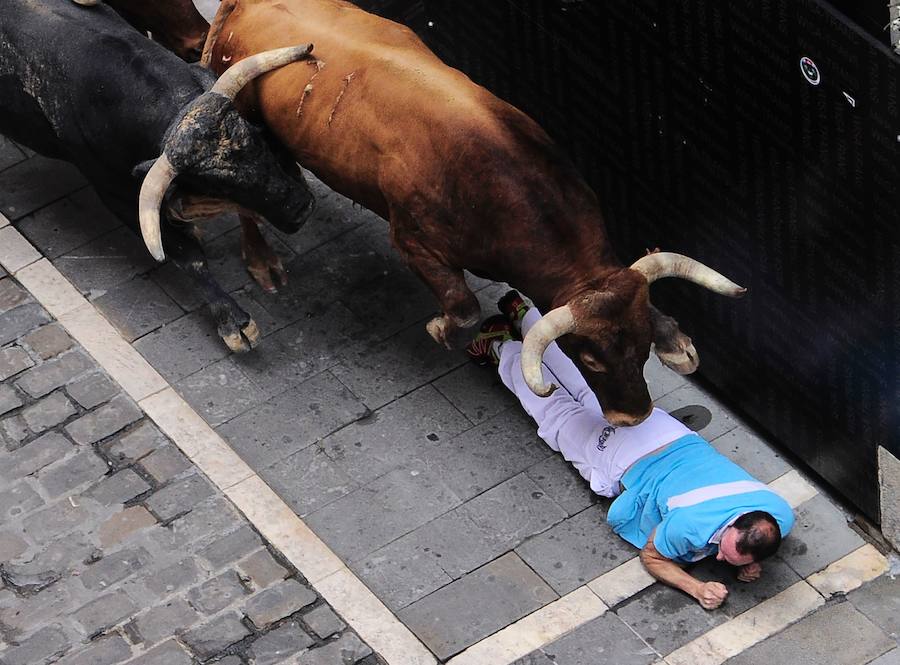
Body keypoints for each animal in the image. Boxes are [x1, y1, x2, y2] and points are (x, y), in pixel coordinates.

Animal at [0, 0, 316, 352]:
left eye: (255, 139)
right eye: (219, 186)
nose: (300, 207)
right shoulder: (116, 193)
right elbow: (188, 256)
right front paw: (233, 321)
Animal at [200, 0, 748, 426]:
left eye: (642, 348)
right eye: (589, 359)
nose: (632, 416)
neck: (499, 179)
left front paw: (676, 340)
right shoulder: (415, 243)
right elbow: (462, 307)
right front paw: (440, 329)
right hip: (241, 128)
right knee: (243, 202)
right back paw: (262, 262)